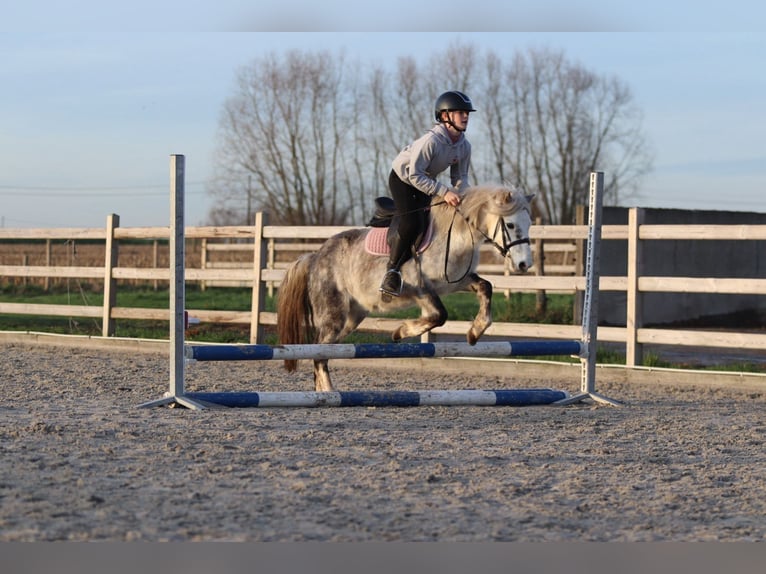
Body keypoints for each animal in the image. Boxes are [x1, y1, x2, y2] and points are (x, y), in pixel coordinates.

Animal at [276, 184, 535, 391]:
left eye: (529, 224)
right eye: (510, 224)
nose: (525, 264)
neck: (456, 236)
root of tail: (315, 256)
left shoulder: (456, 282)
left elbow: (485, 287)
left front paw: (475, 332)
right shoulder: (419, 288)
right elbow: (439, 315)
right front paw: (400, 332)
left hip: (352, 317)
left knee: (323, 352)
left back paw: (322, 393)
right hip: (333, 316)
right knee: (319, 353)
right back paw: (329, 393)